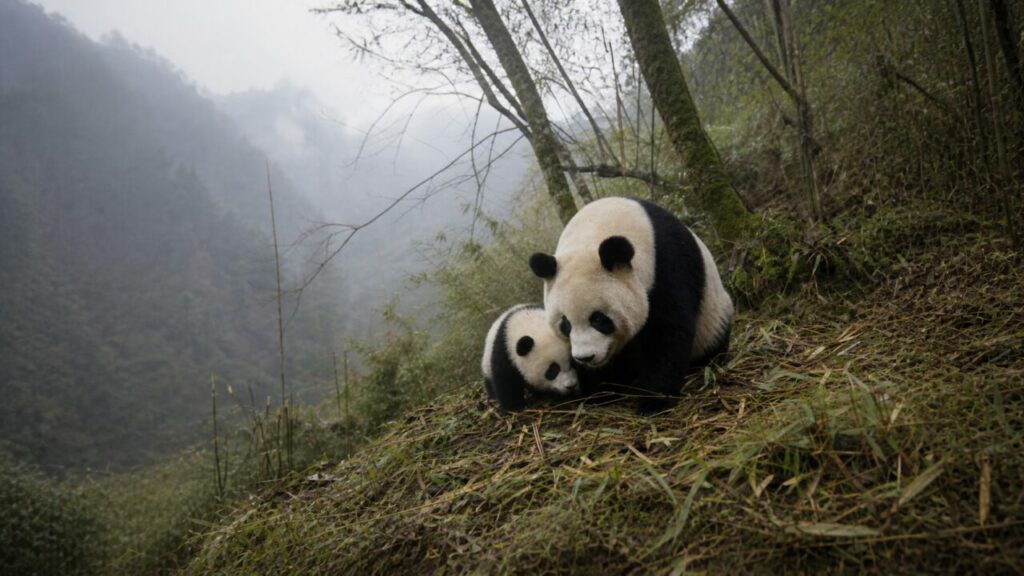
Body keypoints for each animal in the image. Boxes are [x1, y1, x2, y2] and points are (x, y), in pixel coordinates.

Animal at [528, 197, 733, 414]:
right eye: (565, 324)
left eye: (599, 319)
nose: (586, 357)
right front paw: (597, 392)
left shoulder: (667, 265)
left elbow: (666, 331)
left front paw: (653, 401)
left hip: (713, 315)